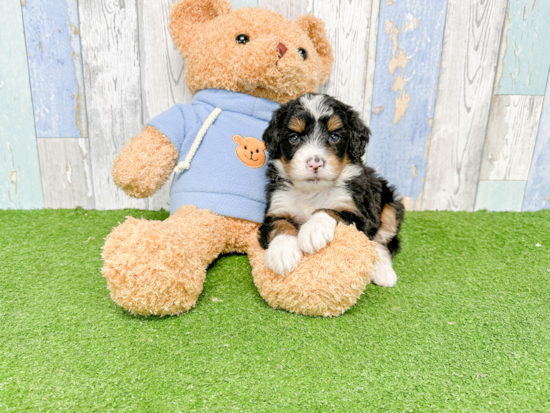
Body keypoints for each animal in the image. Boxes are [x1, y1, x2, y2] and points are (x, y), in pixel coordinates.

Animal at [258, 93, 406, 286]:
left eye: (334, 137)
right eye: (294, 138)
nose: (315, 163)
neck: (312, 191)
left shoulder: (360, 215)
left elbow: (330, 210)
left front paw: (313, 230)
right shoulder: (276, 207)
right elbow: (279, 224)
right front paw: (282, 252)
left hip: (390, 204)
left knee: (383, 243)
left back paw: (383, 272)